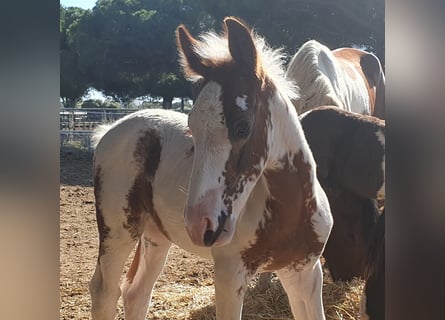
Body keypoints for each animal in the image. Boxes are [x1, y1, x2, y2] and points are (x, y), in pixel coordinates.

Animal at [90, 17, 332, 320]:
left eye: (242, 126)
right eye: (191, 127)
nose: (199, 225)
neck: (291, 211)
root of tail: (110, 129)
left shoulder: (304, 272)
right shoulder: (229, 275)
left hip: (156, 236)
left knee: (137, 293)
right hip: (118, 230)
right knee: (104, 292)